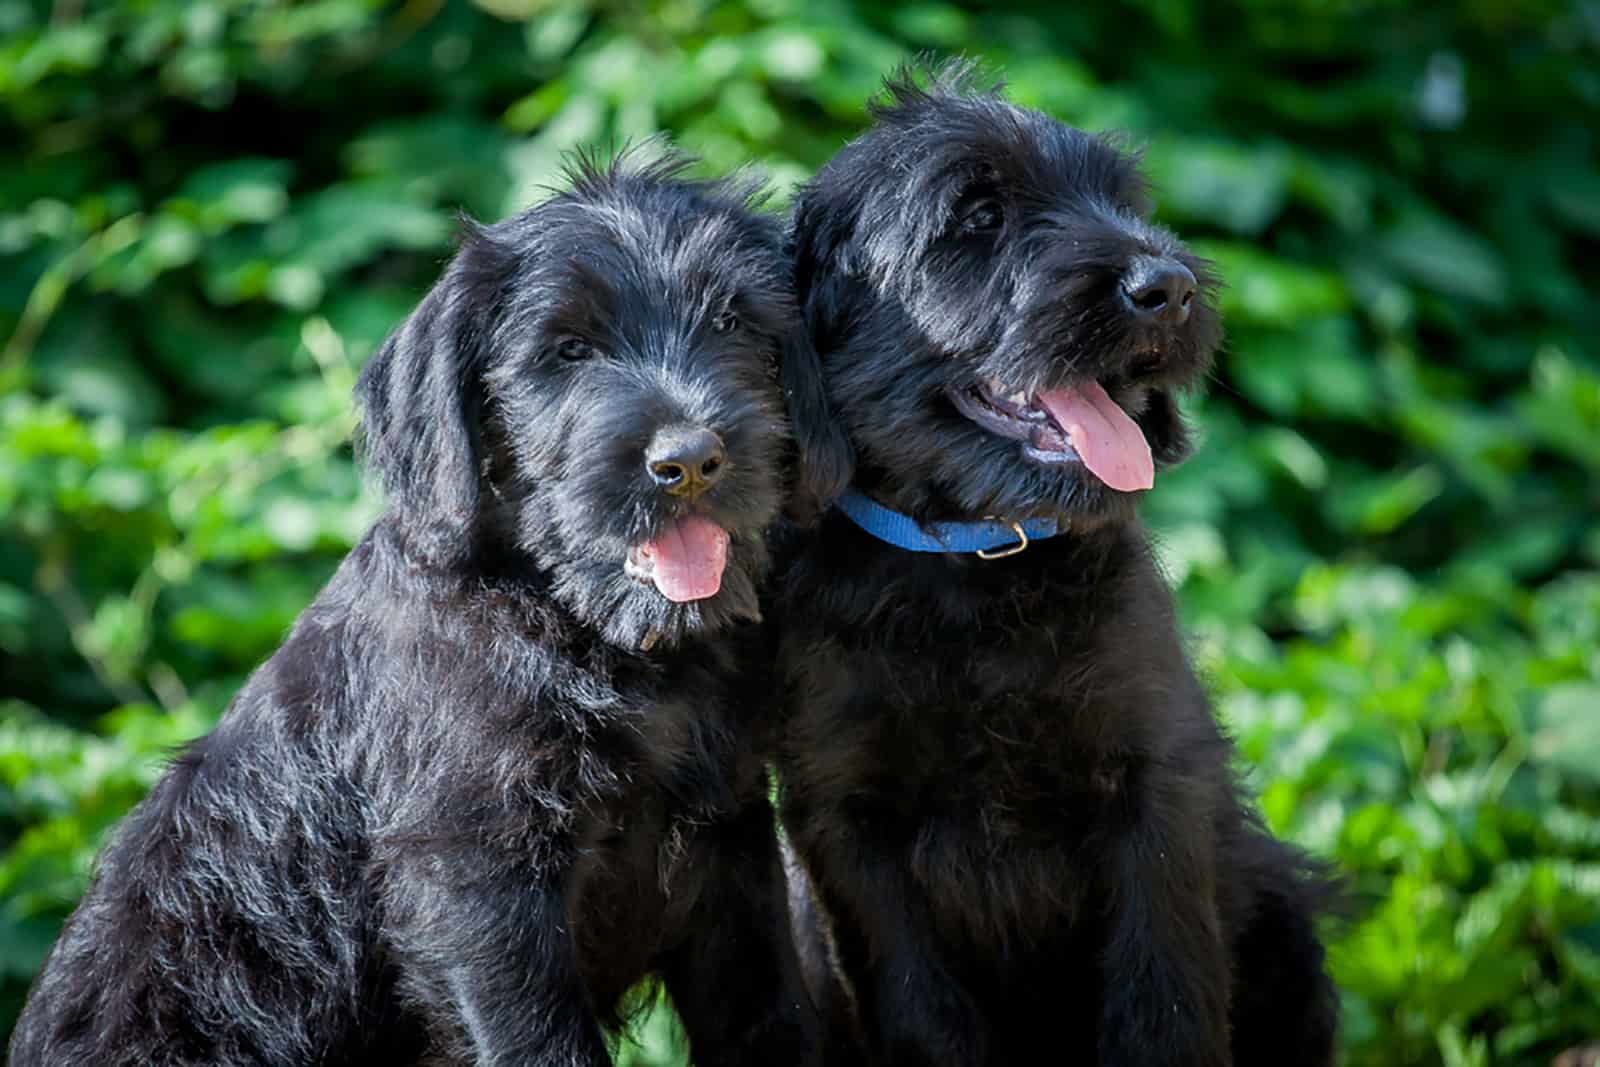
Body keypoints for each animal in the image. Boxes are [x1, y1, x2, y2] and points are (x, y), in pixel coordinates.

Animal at [12, 156, 832, 1067]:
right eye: (569, 350)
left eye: (731, 320)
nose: (688, 459)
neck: (589, 635)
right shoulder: (476, 881)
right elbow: (542, 1042)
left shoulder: (729, 845)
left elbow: (771, 1010)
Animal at [774, 68, 1337, 1067]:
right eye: (981, 215)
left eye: (1118, 200)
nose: (1170, 287)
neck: (972, 570)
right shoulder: (848, 822)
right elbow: (924, 1012)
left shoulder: (1153, 781)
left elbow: (1162, 993)